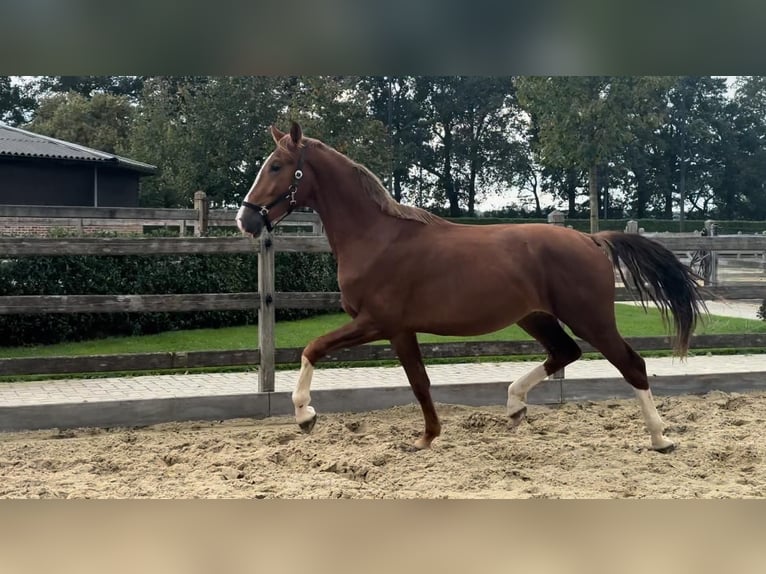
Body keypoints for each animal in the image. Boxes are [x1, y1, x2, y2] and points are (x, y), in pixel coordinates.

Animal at [236, 122, 708, 454]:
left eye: (276, 166)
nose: (246, 220)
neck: (377, 238)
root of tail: (590, 239)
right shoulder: (401, 330)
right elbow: (420, 382)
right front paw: (427, 437)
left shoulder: (379, 323)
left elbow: (313, 348)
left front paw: (305, 415)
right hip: (535, 316)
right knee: (565, 352)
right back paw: (514, 405)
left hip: (589, 317)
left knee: (632, 364)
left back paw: (660, 439)